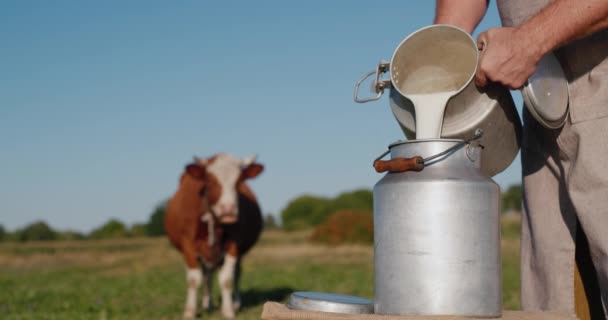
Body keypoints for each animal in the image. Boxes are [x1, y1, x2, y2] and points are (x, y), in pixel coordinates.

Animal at [165, 154, 262, 318]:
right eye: (209, 181)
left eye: (239, 181)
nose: (228, 209)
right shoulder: (188, 244)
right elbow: (193, 280)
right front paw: (190, 312)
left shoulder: (234, 244)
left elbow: (227, 279)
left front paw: (228, 311)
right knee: (207, 276)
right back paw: (207, 305)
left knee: (236, 274)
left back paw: (235, 304)